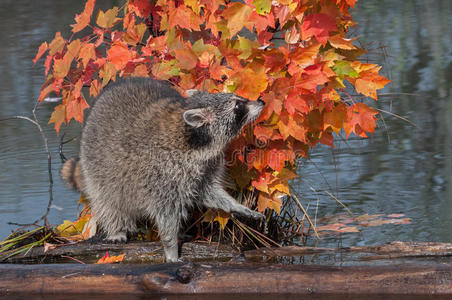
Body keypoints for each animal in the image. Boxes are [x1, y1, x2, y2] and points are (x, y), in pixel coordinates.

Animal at [60, 78, 264, 262]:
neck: (194, 138)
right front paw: (170, 247)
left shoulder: (208, 165)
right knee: (106, 199)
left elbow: (209, 192)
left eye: (239, 99)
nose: (261, 101)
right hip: (96, 164)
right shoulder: (162, 172)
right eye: (238, 106)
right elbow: (166, 212)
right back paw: (116, 228)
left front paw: (237, 206)